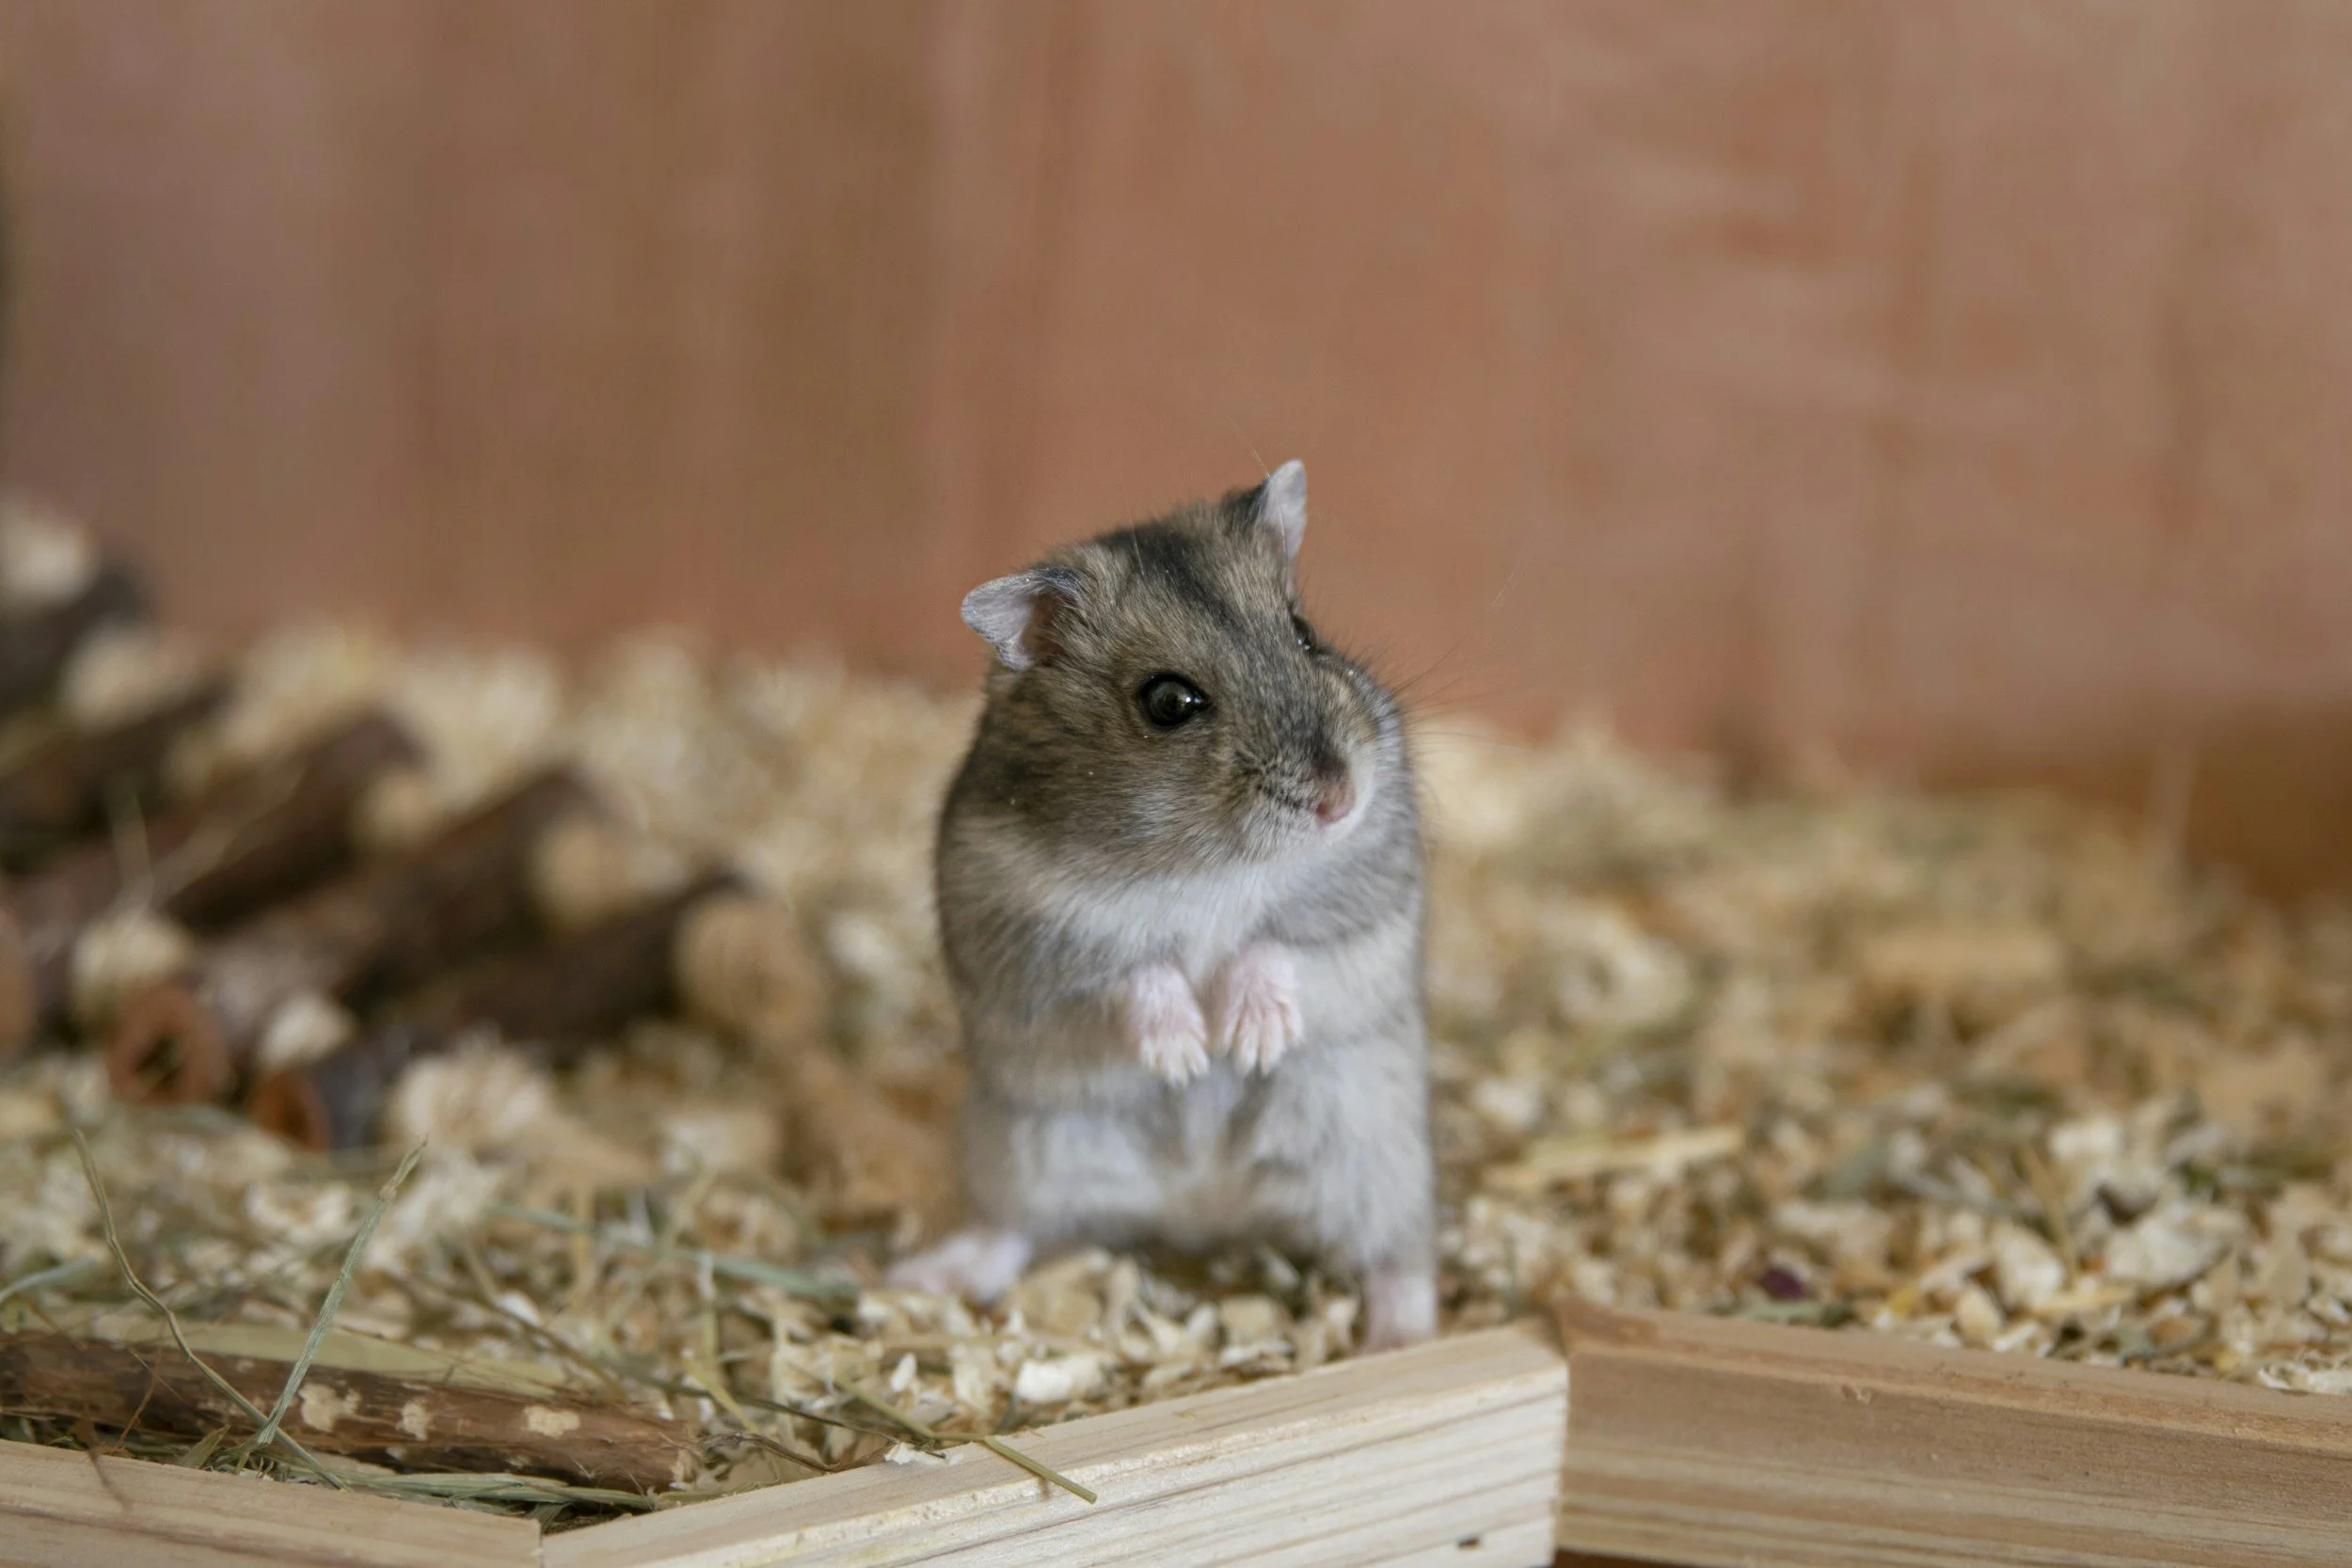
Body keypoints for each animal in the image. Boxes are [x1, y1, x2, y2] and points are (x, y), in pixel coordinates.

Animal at [888, 461, 1438, 1352]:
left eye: (1304, 632)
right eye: (1168, 702)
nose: (1339, 799)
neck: (1207, 861)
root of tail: (1202, 1211)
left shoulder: (1366, 896)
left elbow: (1276, 943)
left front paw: (1248, 1041)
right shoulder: (1030, 932)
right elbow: (1133, 970)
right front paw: (1184, 1055)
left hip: (1377, 1156)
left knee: (1401, 1256)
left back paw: (1400, 1339)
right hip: (1024, 1152)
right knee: (1010, 1230)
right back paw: (919, 1275)